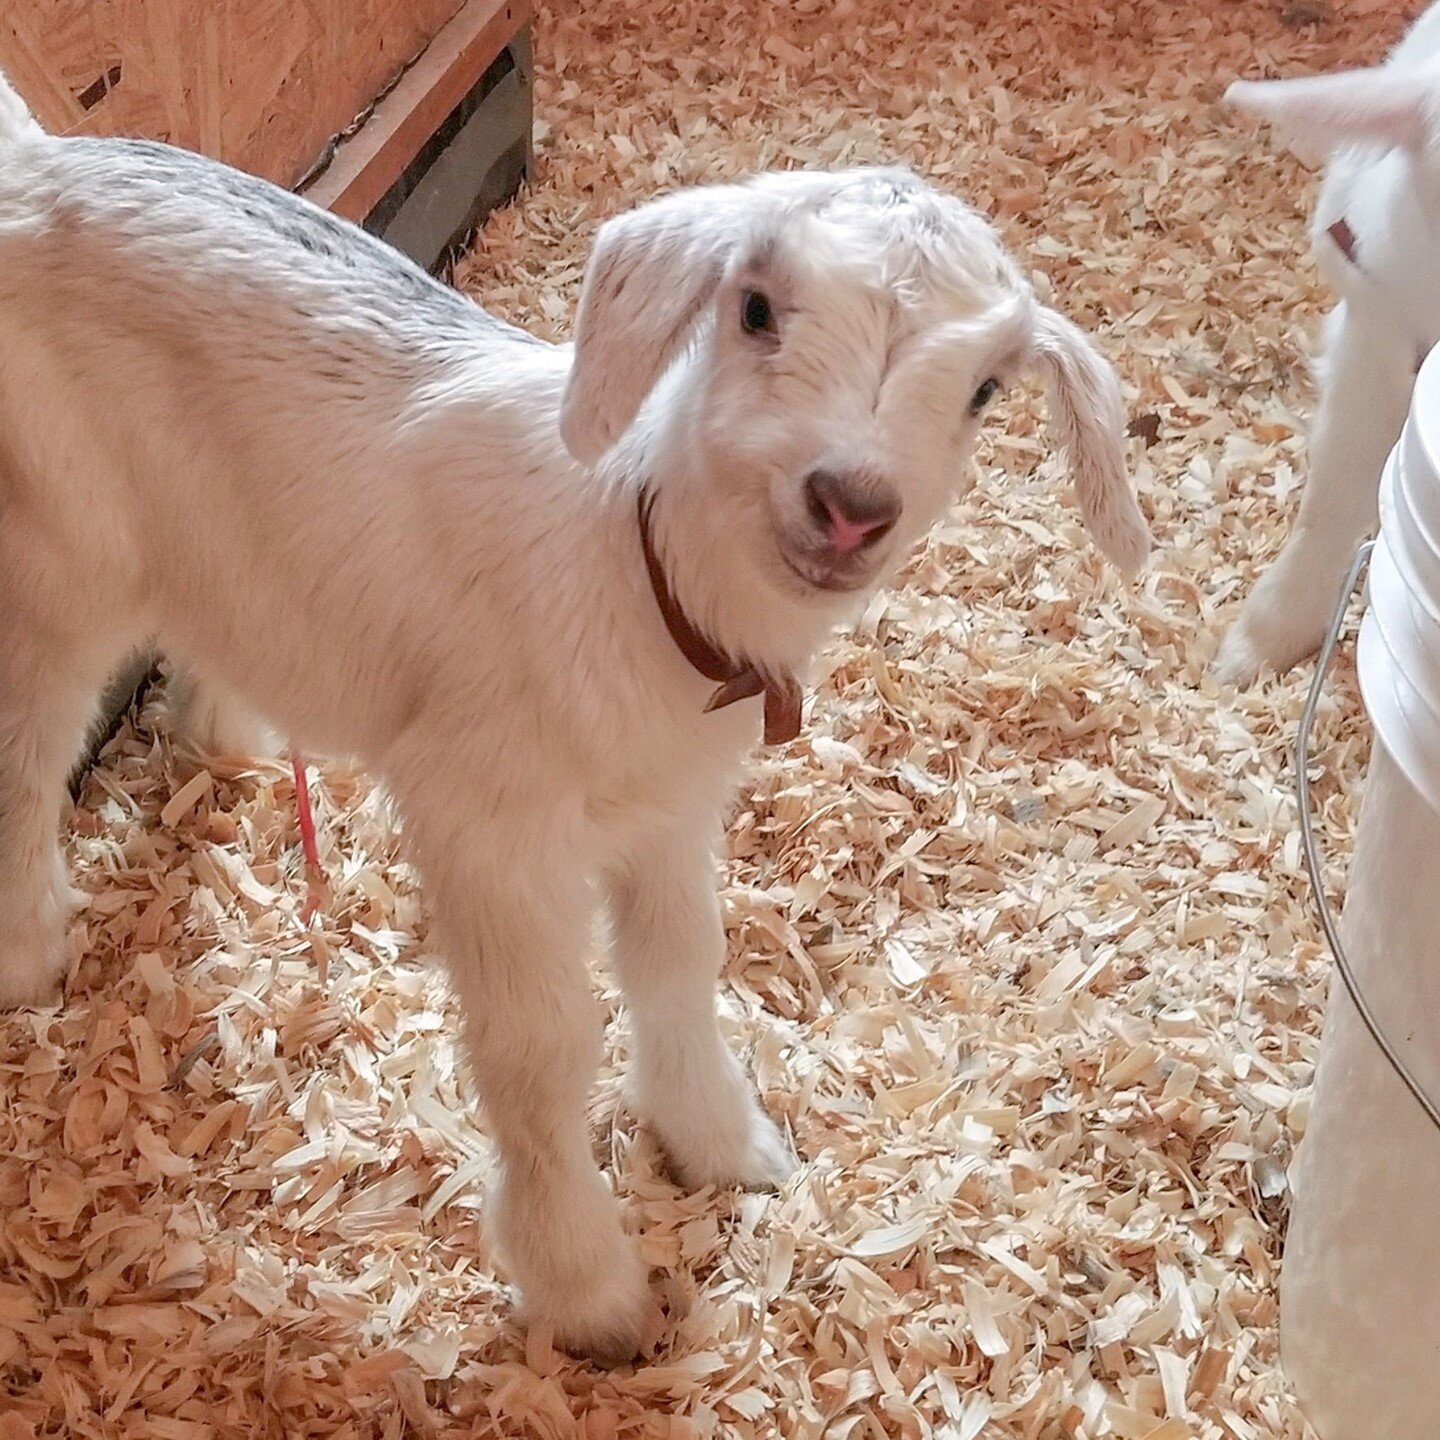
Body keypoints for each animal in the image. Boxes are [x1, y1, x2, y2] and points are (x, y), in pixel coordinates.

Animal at [0, 75, 1146, 1359]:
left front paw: (726, 1143)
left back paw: (227, 740)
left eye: (987, 390)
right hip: (57, 547)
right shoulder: (486, 822)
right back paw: (29, 949)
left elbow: (680, 963)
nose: (851, 505)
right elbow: (542, 1050)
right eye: (755, 309)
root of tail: (30, 164)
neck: (635, 565)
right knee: (30, 741)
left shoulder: (669, 813)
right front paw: (587, 1290)